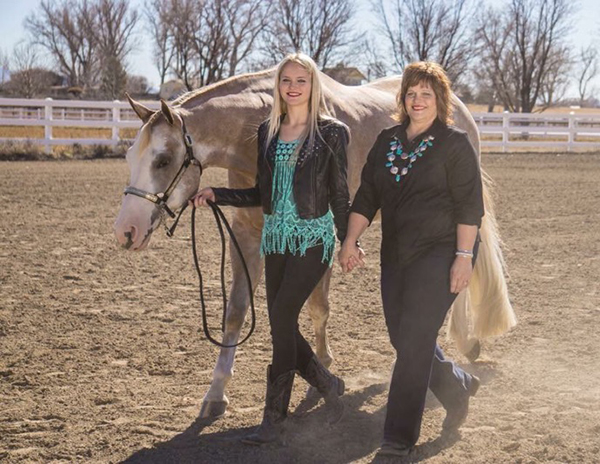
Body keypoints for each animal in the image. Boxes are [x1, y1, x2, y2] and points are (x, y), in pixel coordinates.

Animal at [113, 68, 516, 416]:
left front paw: (323, 370)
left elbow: (317, 308)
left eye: (163, 160)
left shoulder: (328, 236)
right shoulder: (247, 235)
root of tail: (461, 109)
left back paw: (466, 342)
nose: (126, 232)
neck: (256, 134)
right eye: (130, 156)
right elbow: (237, 313)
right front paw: (216, 394)